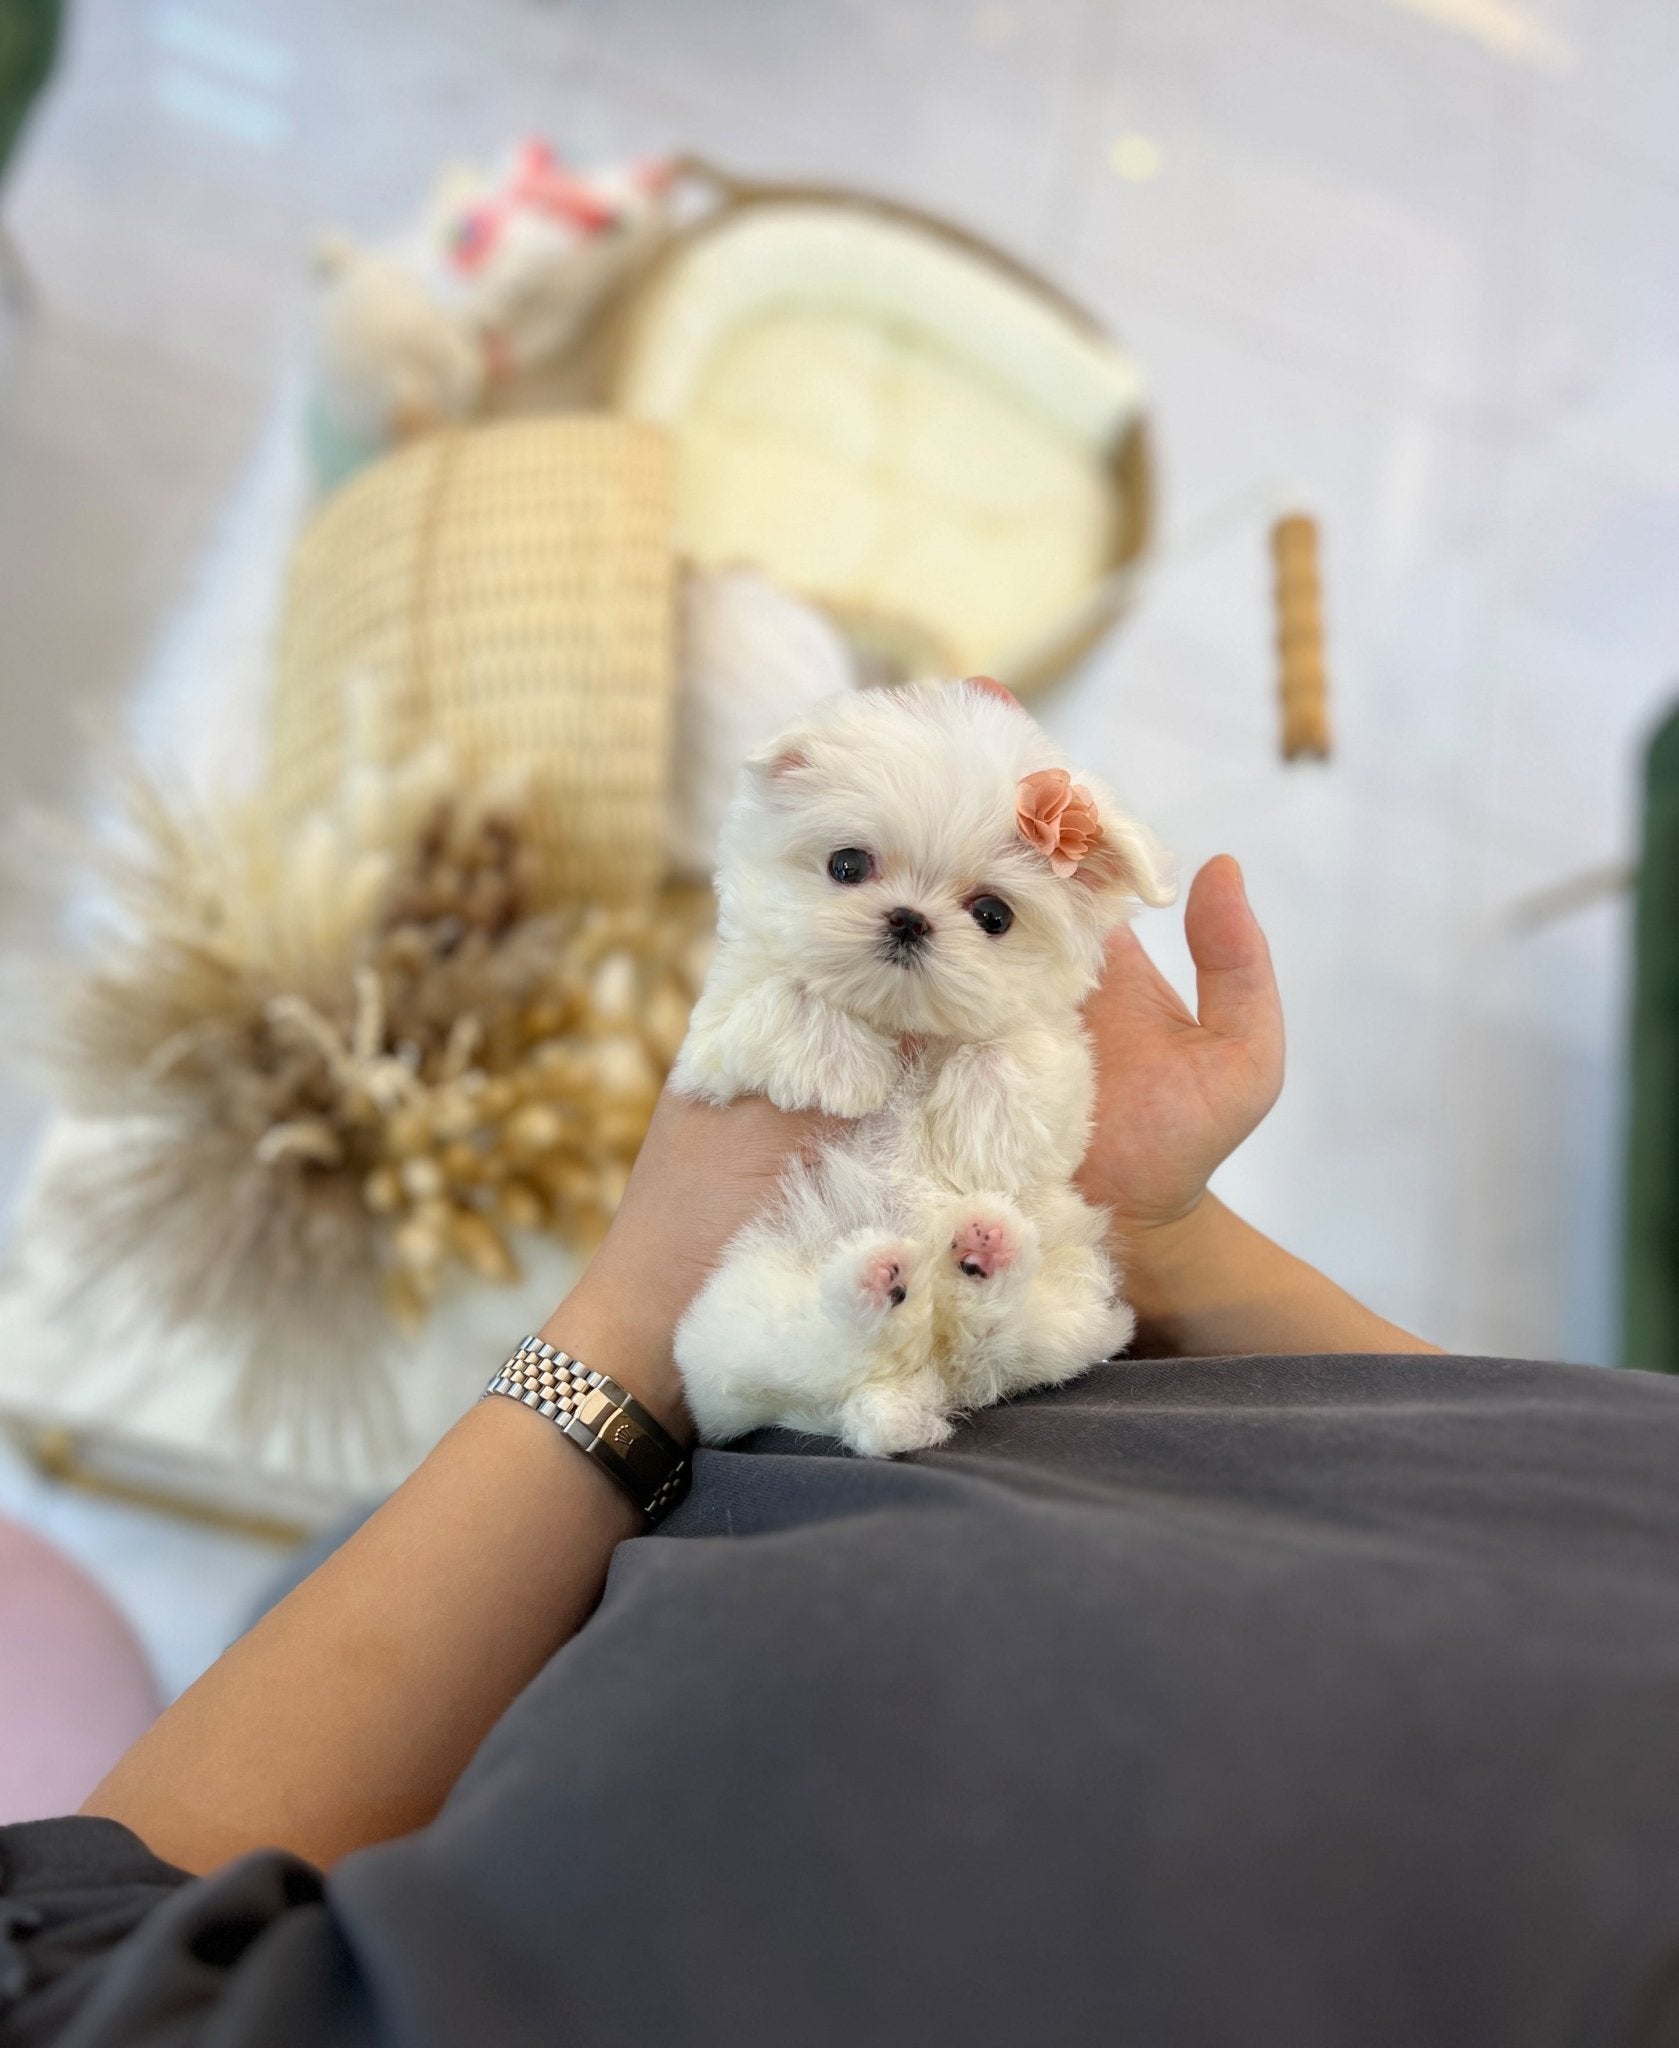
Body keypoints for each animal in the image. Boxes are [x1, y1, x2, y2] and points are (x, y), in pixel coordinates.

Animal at [675, 684, 1171, 1458]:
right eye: (847, 865)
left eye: (993, 915)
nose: (908, 919)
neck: (906, 1020)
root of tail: (912, 1389)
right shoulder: (714, 1033)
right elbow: (789, 990)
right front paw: (847, 1073)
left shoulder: (1055, 1044)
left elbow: (1012, 1043)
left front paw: (984, 1135)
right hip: (736, 1315)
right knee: (827, 1344)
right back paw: (879, 1283)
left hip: (1072, 1297)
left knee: (995, 1344)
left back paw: (979, 1262)